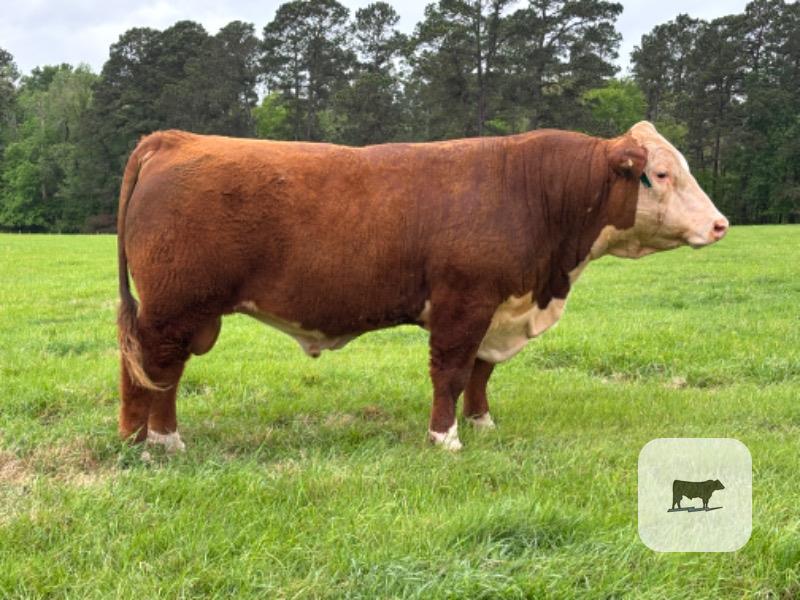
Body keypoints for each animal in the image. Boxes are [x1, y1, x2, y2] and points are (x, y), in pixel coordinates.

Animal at [116, 121, 728, 452]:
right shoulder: (464, 303)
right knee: (160, 368)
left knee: (144, 367)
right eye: (661, 174)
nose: (721, 224)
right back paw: (163, 440)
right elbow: (452, 373)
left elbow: (481, 372)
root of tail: (174, 139)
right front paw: (445, 438)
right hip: (177, 308)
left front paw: (482, 423)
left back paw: (136, 437)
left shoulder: (495, 309)